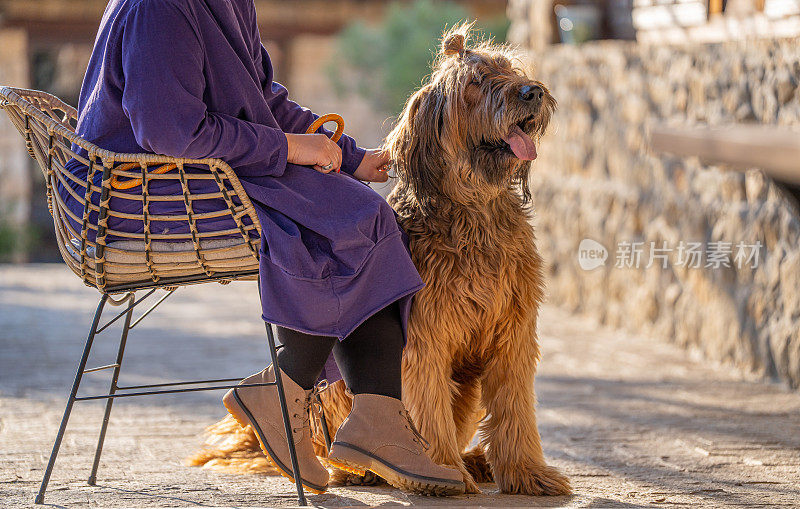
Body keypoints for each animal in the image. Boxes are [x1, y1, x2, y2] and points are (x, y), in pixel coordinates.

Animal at [189, 24, 568, 496]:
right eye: (476, 83)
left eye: (511, 70)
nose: (532, 92)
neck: (474, 211)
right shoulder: (425, 341)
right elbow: (428, 409)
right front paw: (437, 471)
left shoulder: (512, 334)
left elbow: (516, 410)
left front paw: (528, 473)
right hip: (332, 398)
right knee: (334, 442)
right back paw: (364, 466)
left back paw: (474, 460)